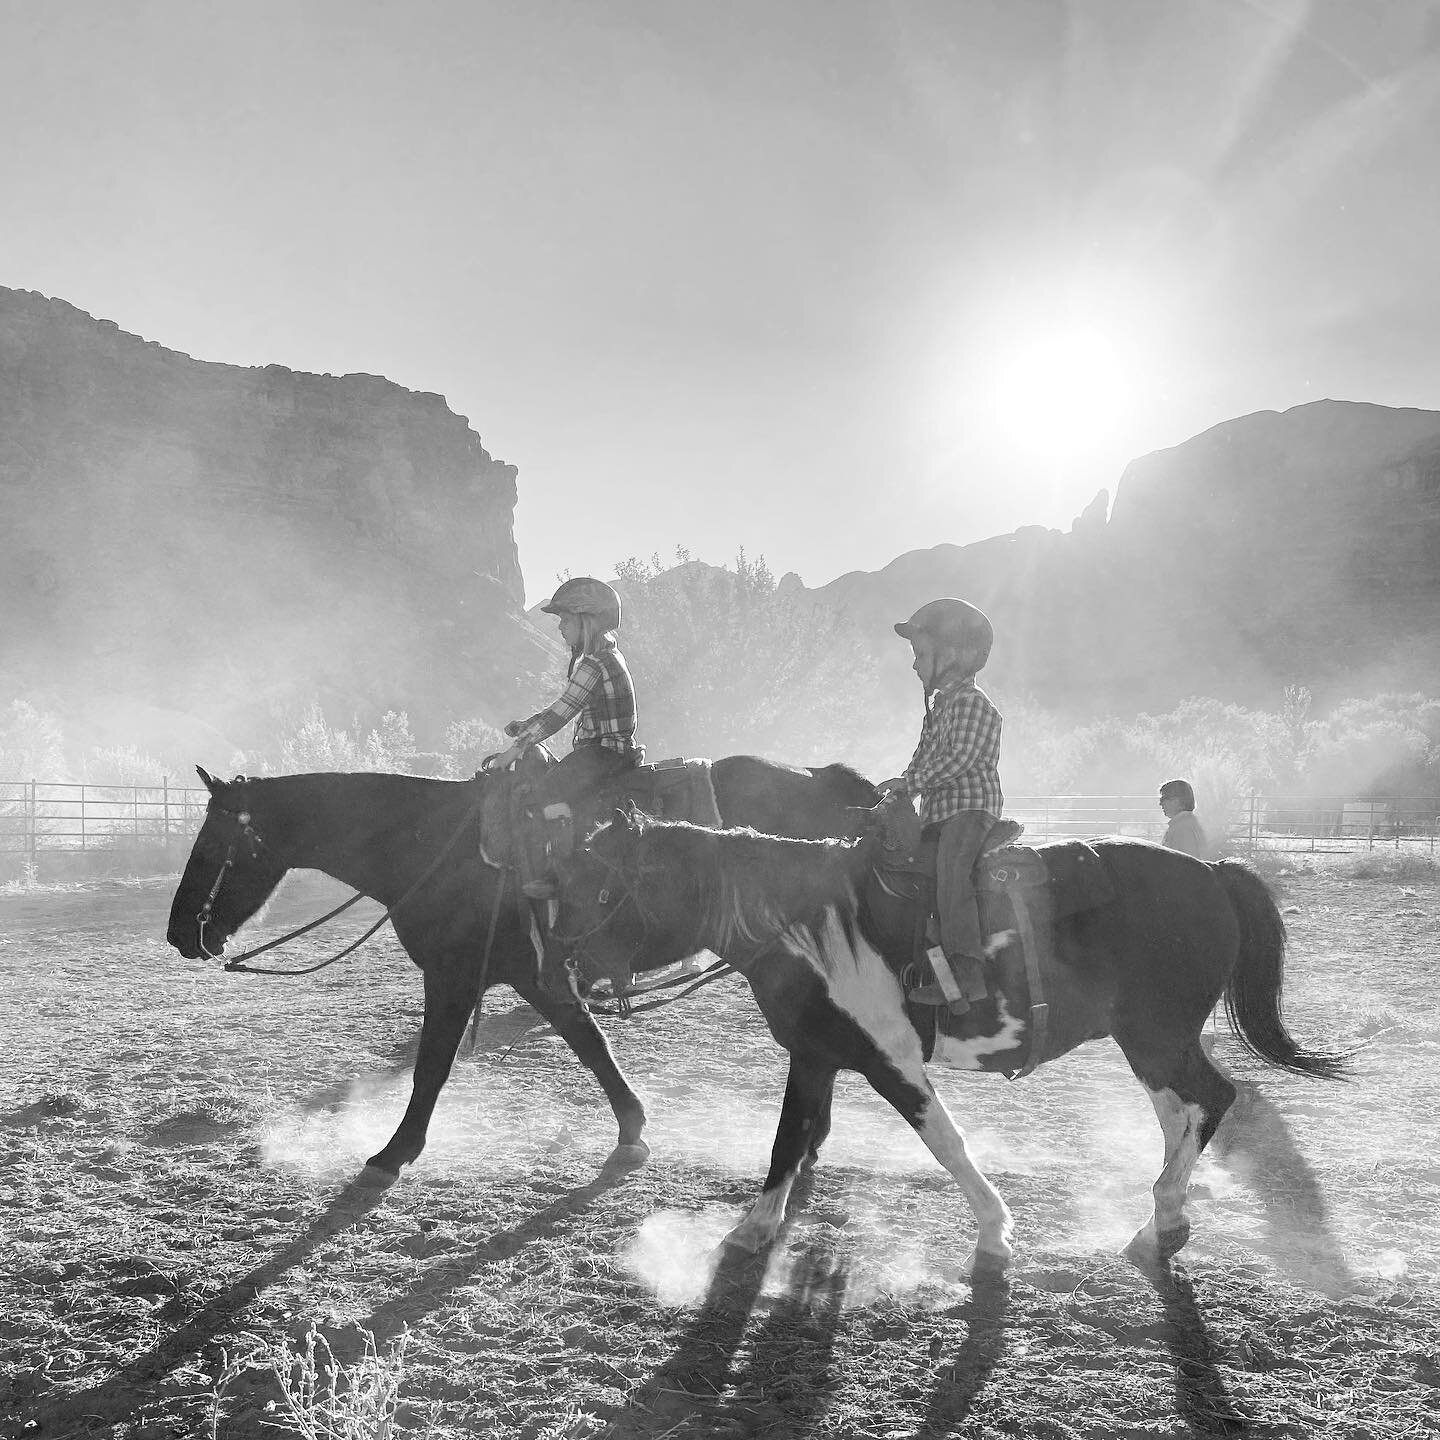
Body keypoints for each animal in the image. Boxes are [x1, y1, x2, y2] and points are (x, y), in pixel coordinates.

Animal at [163, 754, 869, 1180]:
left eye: (215, 844)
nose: (177, 934)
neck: (432, 842)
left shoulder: (453, 977)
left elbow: (433, 1067)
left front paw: (396, 1151)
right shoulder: (537, 977)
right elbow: (590, 1043)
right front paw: (633, 1128)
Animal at [550, 812, 1347, 1272]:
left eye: (602, 888)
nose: (570, 969)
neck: (810, 924)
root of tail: (1211, 871)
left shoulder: (889, 1061)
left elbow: (945, 1142)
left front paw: (995, 1231)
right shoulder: (815, 1055)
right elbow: (789, 1138)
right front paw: (758, 1225)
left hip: (1155, 1036)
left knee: (1212, 1099)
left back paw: (1160, 1221)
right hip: (1154, 1043)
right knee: (1185, 1110)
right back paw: (1168, 1213)